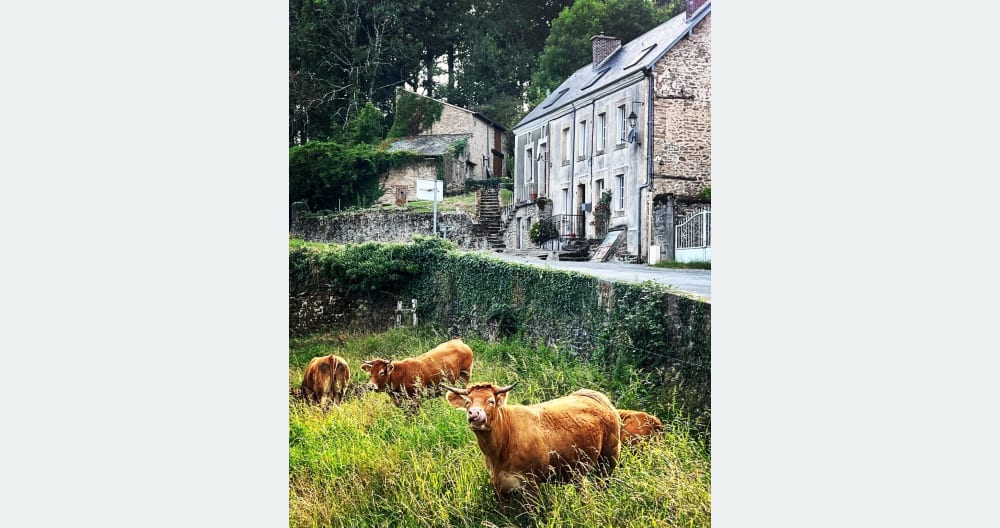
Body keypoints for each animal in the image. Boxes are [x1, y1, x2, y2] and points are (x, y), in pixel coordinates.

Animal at [444, 380, 616, 504]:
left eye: (491, 401)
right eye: (468, 402)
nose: (474, 414)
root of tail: (594, 394)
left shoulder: (531, 483)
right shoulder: (499, 485)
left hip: (609, 457)